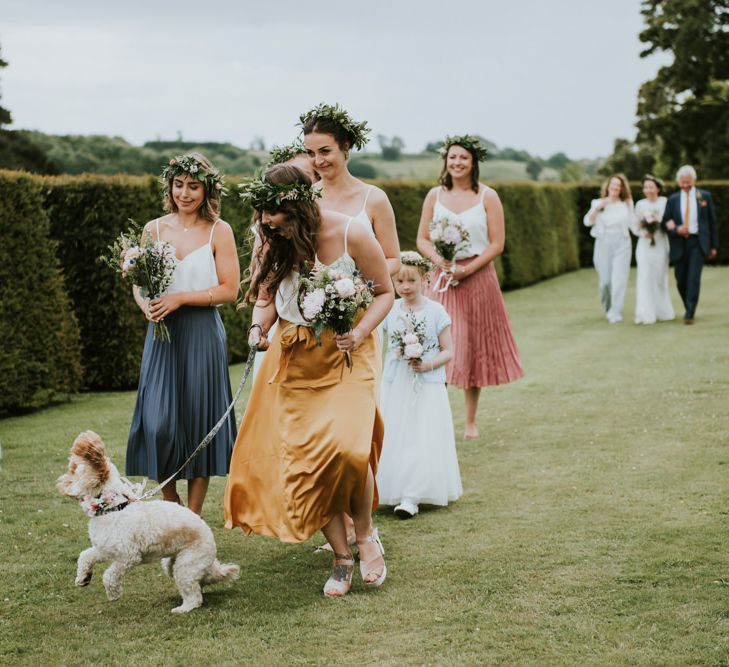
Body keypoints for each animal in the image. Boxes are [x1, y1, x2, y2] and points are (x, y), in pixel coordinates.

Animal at [57, 430, 239, 612]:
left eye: (73, 471)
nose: (59, 482)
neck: (114, 507)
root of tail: (211, 541)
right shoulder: (105, 549)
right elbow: (85, 556)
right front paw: (83, 577)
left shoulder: (127, 556)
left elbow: (109, 575)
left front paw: (113, 593)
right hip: (172, 564)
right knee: (200, 581)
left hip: (186, 565)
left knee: (194, 596)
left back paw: (182, 608)